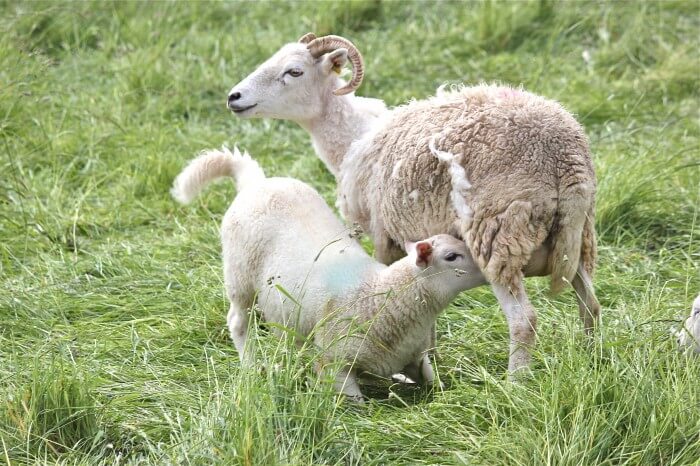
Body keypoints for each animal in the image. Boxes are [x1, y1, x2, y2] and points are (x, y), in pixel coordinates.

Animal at [171, 147, 485, 401]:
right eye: (452, 256)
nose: (485, 267)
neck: (380, 295)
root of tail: (257, 182)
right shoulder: (335, 363)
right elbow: (355, 404)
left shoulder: (416, 356)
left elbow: (434, 384)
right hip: (239, 275)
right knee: (238, 321)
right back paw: (251, 366)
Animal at [226, 33, 602, 374]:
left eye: (294, 71)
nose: (234, 97)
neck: (353, 138)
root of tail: (565, 159)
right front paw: (431, 356)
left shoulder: (383, 236)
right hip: (578, 236)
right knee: (591, 305)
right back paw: (591, 362)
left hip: (499, 236)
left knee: (524, 322)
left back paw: (515, 385)